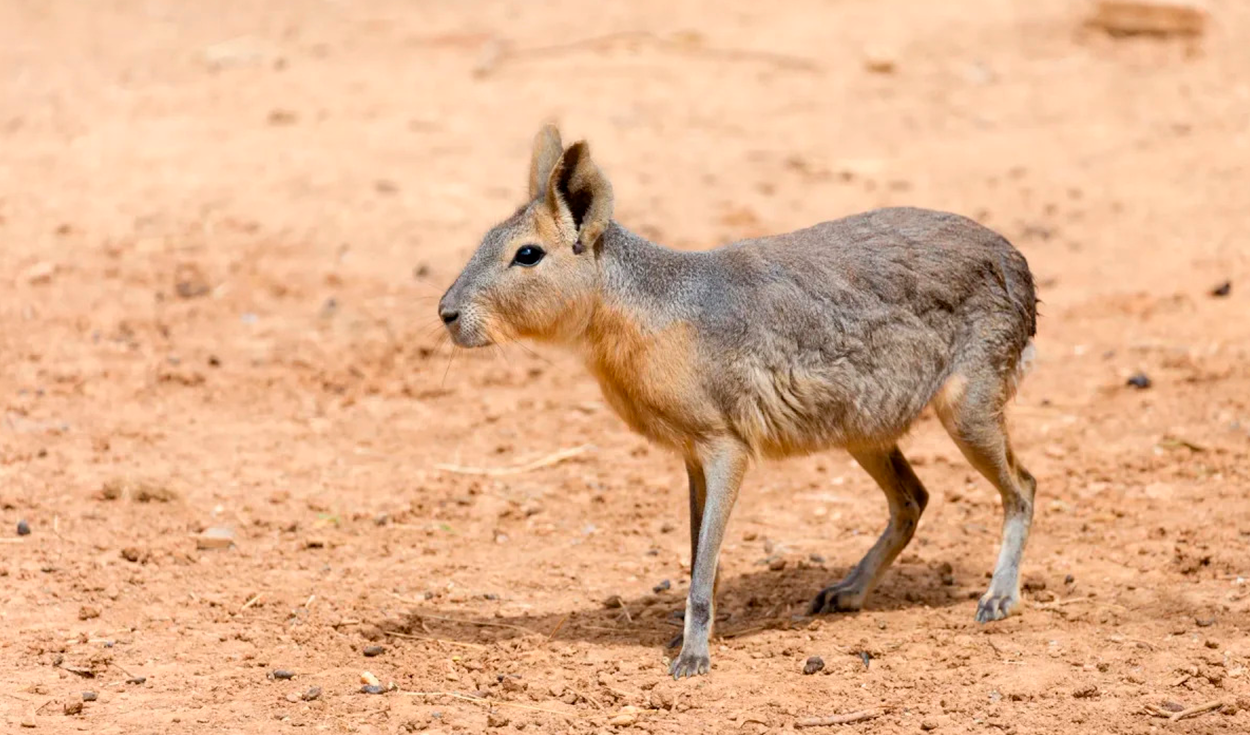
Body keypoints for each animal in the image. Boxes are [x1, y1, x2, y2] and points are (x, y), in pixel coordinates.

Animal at [438, 125, 1038, 678]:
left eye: (527, 255)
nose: (446, 313)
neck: (649, 310)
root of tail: (1017, 261)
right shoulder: (691, 456)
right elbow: (698, 552)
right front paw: (690, 635)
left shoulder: (727, 448)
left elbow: (704, 565)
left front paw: (693, 655)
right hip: (862, 429)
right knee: (914, 499)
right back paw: (848, 591)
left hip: (966, 409)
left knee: (1023, 487)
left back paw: (998, 597)